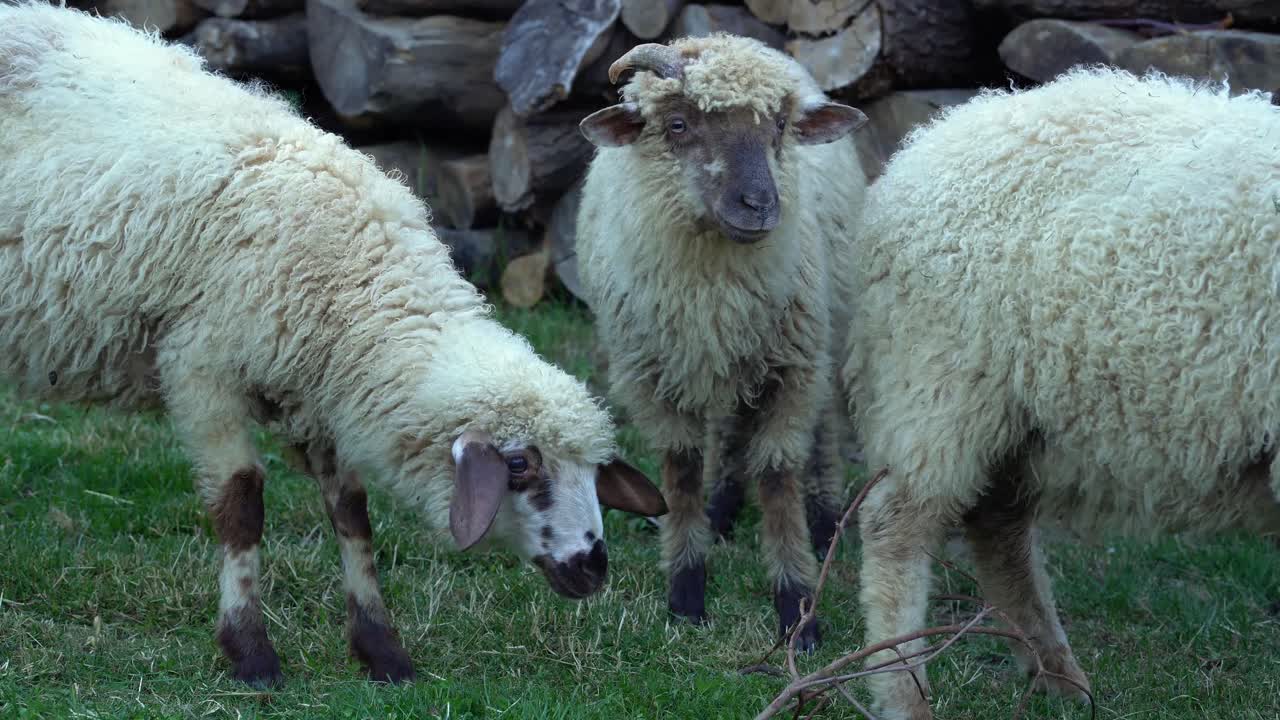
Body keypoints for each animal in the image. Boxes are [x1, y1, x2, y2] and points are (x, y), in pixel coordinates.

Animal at [0, 1, 667, 689]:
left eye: (593, 468)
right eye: (518, 465)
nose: (593, 566)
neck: (352, 275)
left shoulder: (320, 388)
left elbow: (352, 513)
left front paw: (382, 650)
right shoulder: (201, 370)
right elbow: (241, 505)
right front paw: (251, 654)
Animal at [574, 34, 869, 651]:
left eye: (778, 125)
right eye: (678, 124)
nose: (759, 205)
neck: (714, 292)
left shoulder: (792, 368)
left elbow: (778, 478)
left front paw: (797, 612)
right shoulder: (655, 375)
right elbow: (682, 471)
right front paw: (686, 596)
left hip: (824, 330)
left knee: (823, 427)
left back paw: (825, 518)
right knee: (731, 429)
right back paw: (722, 510)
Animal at [841, 65, 1280, 719]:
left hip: (1018, 413)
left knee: (998, 530)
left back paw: (1058, 676)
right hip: (942, 381)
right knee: (898, 527)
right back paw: (905, 693)